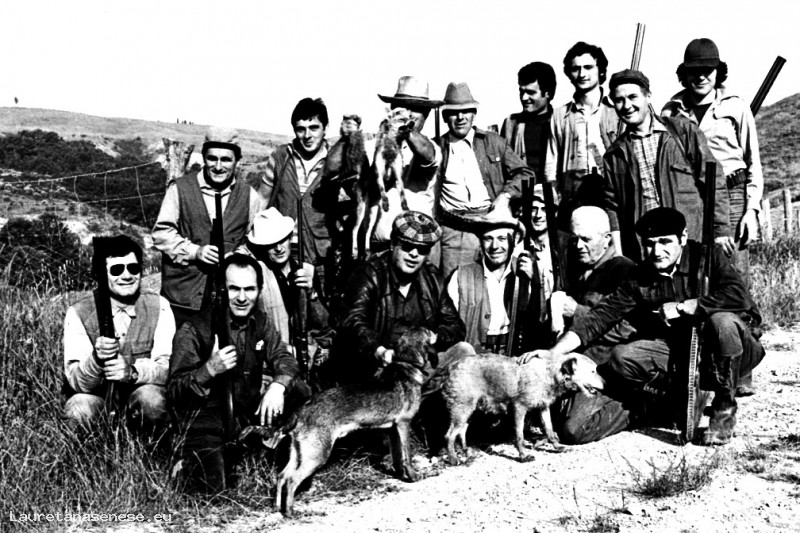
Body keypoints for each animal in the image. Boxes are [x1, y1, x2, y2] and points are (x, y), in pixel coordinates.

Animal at [275, 327, 433, 517]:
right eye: (427, 331)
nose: (436, 333)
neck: (405, 364)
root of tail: (300, 411)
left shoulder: (393, 429)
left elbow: (397, 457)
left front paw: (399, 475)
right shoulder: (404, 424)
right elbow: (407, 456)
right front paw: (412, 476)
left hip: (300, 452)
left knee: (282, 476)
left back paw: (278, 507)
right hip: (316, 454)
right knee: (291, 480)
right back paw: (290, 512)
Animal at [442, 352, 604, 464]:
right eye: (592, 371)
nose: (606, 383)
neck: (549, 373)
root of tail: (452, 368)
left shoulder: (543, 408)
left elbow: (550, 430)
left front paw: (557, 446)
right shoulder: (519, 408)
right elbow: (519, 436)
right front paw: (523, 455)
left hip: (471, 410)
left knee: (461, 431)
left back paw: (466, 452)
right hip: (462, 409)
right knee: (450, 435)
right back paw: (454, 459)